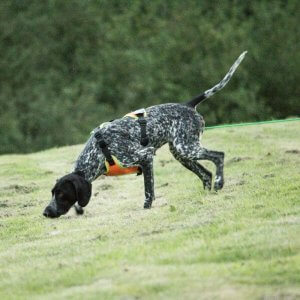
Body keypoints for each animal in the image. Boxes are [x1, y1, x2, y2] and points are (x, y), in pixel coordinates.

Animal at [43, 51, 247, 218]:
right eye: (52, 193)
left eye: (61, 194)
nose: (46, 212)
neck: (99, 152)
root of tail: (188, 105)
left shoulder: (145, 157)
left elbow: (148, 191)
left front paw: (146, 207)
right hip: (182, 153)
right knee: (206, 174)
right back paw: (207, 194)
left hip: (187, 149)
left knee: (219, 156)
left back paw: (220, 183)